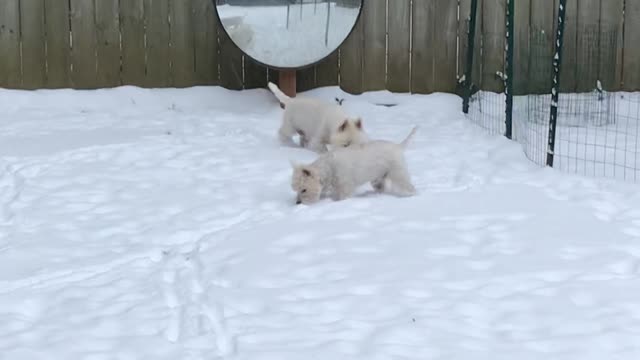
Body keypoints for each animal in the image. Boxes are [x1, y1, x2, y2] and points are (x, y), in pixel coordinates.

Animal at [292, 126, 420, 205]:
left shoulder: (345, 186)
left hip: (398, 173)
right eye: (296, 189)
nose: (298, 203)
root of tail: (398, 146)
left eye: (304, 190)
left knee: (408, 186)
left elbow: (343, 197)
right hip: (378, 179)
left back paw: (412, 195)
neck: (329, 167)